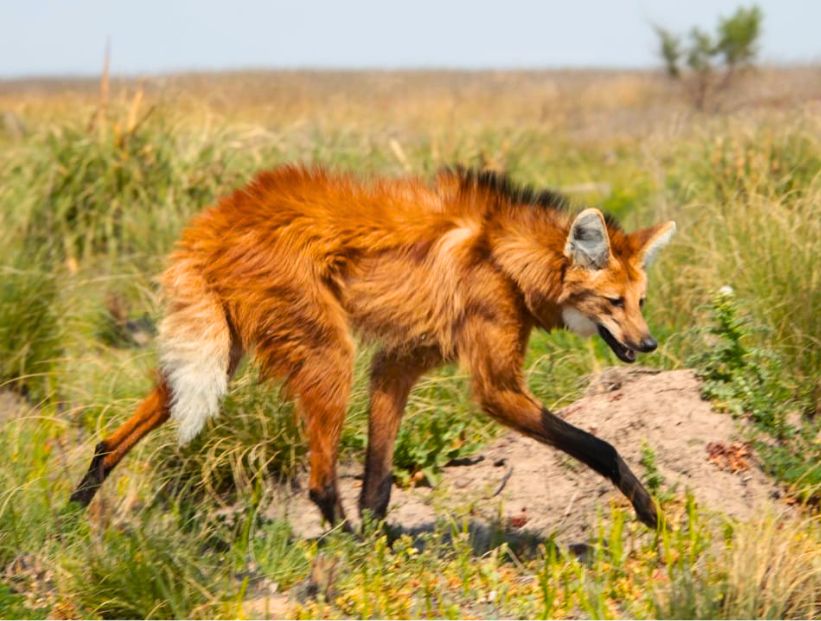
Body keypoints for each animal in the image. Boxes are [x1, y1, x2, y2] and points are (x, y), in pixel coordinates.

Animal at [70, 166, 672, 528]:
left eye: (641, 300)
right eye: (614, 302)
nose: (648, 343)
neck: (509, 258)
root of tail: (216, 219)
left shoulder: (400, 362)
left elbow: (379, 474)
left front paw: (381, 539)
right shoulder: (496, 387)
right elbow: (599, 446)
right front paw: (649, 509)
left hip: (226, 347)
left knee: (118, 434)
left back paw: (75, 506)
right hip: (324, 350)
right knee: (317, 481)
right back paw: (339, 540)